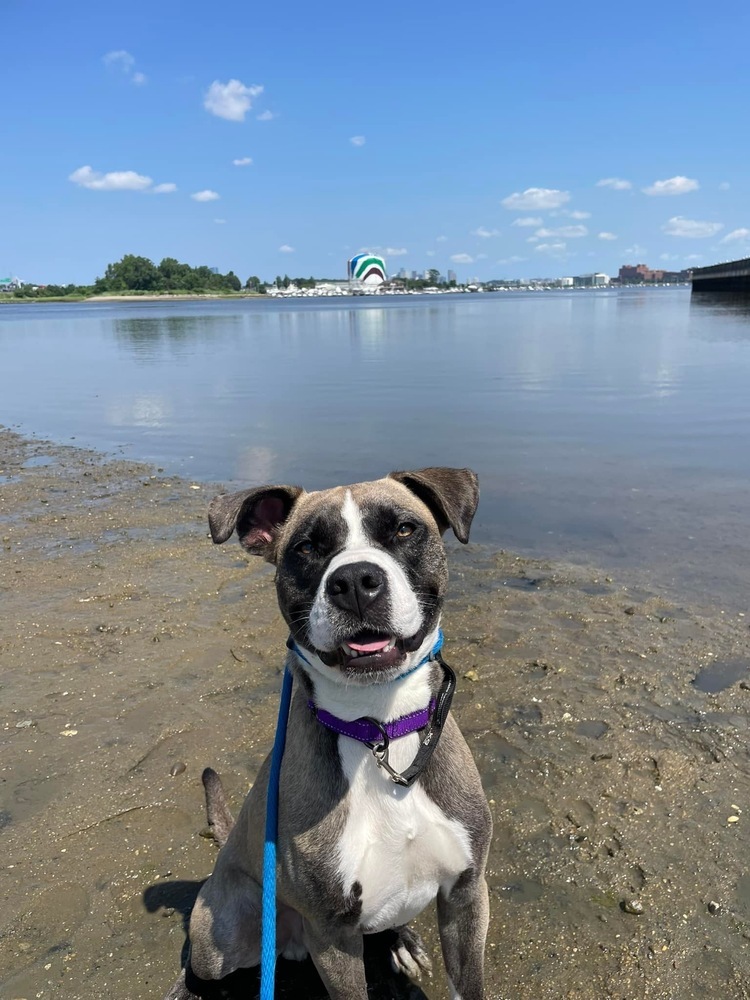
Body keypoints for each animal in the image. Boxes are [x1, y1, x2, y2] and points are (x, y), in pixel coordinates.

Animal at [164, 468, 494, 1000]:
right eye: (306, 547)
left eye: (404, 529)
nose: (355, 580)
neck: (379, 730)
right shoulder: (333, 935)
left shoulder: (466, 896)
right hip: (226, 929)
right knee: (201, 960)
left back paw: (402, 940)